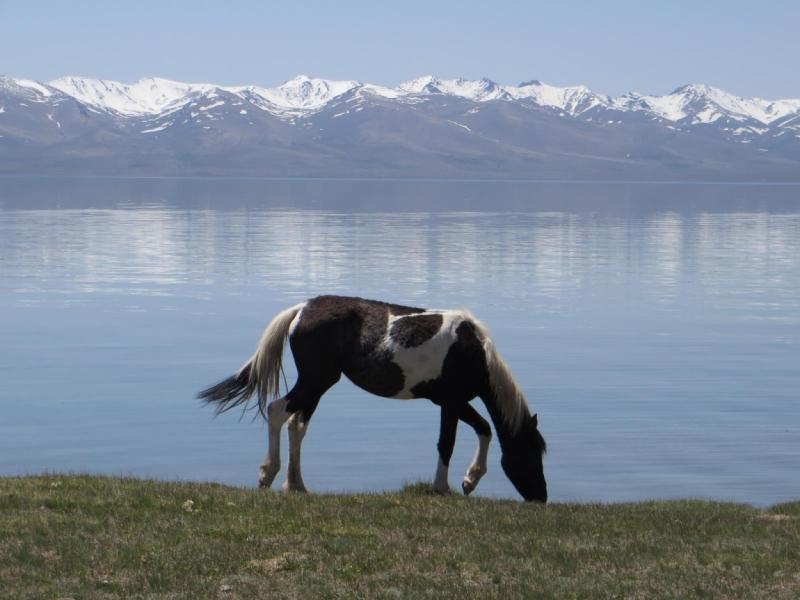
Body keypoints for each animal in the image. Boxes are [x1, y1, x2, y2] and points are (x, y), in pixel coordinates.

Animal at [200, 296, 552, 502]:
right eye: (531, 455)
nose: (541, 497)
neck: (471, 350)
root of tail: (302, 310)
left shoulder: (449, 402)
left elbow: (481, 430)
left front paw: (469, 480)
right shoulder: (450, 402)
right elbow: (450, 442)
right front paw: (448, 486)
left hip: (318, 383)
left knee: (296, 425)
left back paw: (296, 485)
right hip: (316, 379)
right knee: (277, 411)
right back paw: (267, 475)